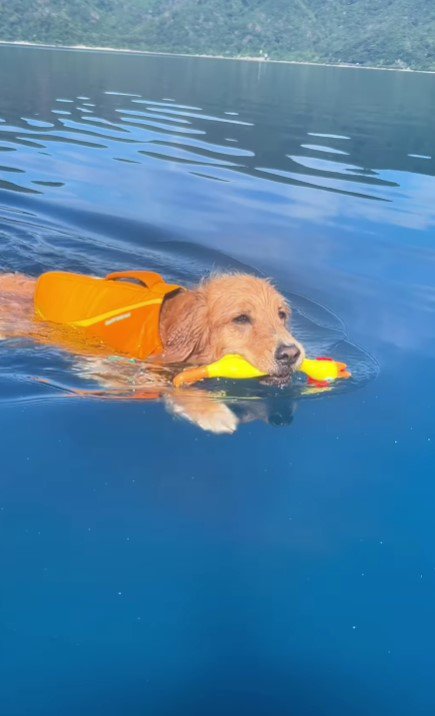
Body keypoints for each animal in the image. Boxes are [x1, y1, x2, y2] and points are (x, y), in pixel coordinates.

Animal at [0, 272, 304, 434]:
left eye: (281, 315)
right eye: (241, 318)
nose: (291, 353)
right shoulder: (113, 364)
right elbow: (163, 383)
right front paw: (210, 411)